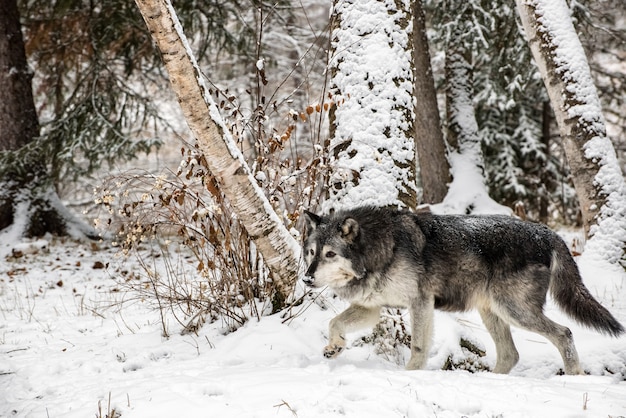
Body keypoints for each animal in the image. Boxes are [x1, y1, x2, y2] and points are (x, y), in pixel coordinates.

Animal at [302, 207, 620, 374]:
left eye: (330, 254)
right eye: (311, 253)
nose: (306, 279)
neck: (381, 250)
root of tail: (548, 232)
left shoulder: (420, 303)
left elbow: (418, 347)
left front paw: (410, 376)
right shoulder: (371, 309)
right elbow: (334, 323)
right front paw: (334, 347)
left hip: (515, 312)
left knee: (564, 333)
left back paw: (575, 377)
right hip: (492, 313)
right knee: (511, 354)